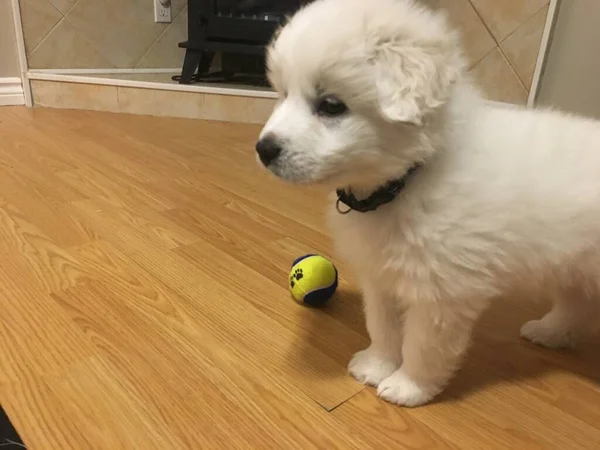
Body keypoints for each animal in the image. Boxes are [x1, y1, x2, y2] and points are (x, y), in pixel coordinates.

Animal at [256, 0, 600, 408]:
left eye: (331, 106)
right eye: (282, 93)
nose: (263, 149)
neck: (409, 178)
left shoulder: (442, 291)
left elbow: (423, 344)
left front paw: (409, 387)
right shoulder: (381, 277)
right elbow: (382, 325)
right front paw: (377, 365)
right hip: (574, 266)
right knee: (576, 302)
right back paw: (550, 331)